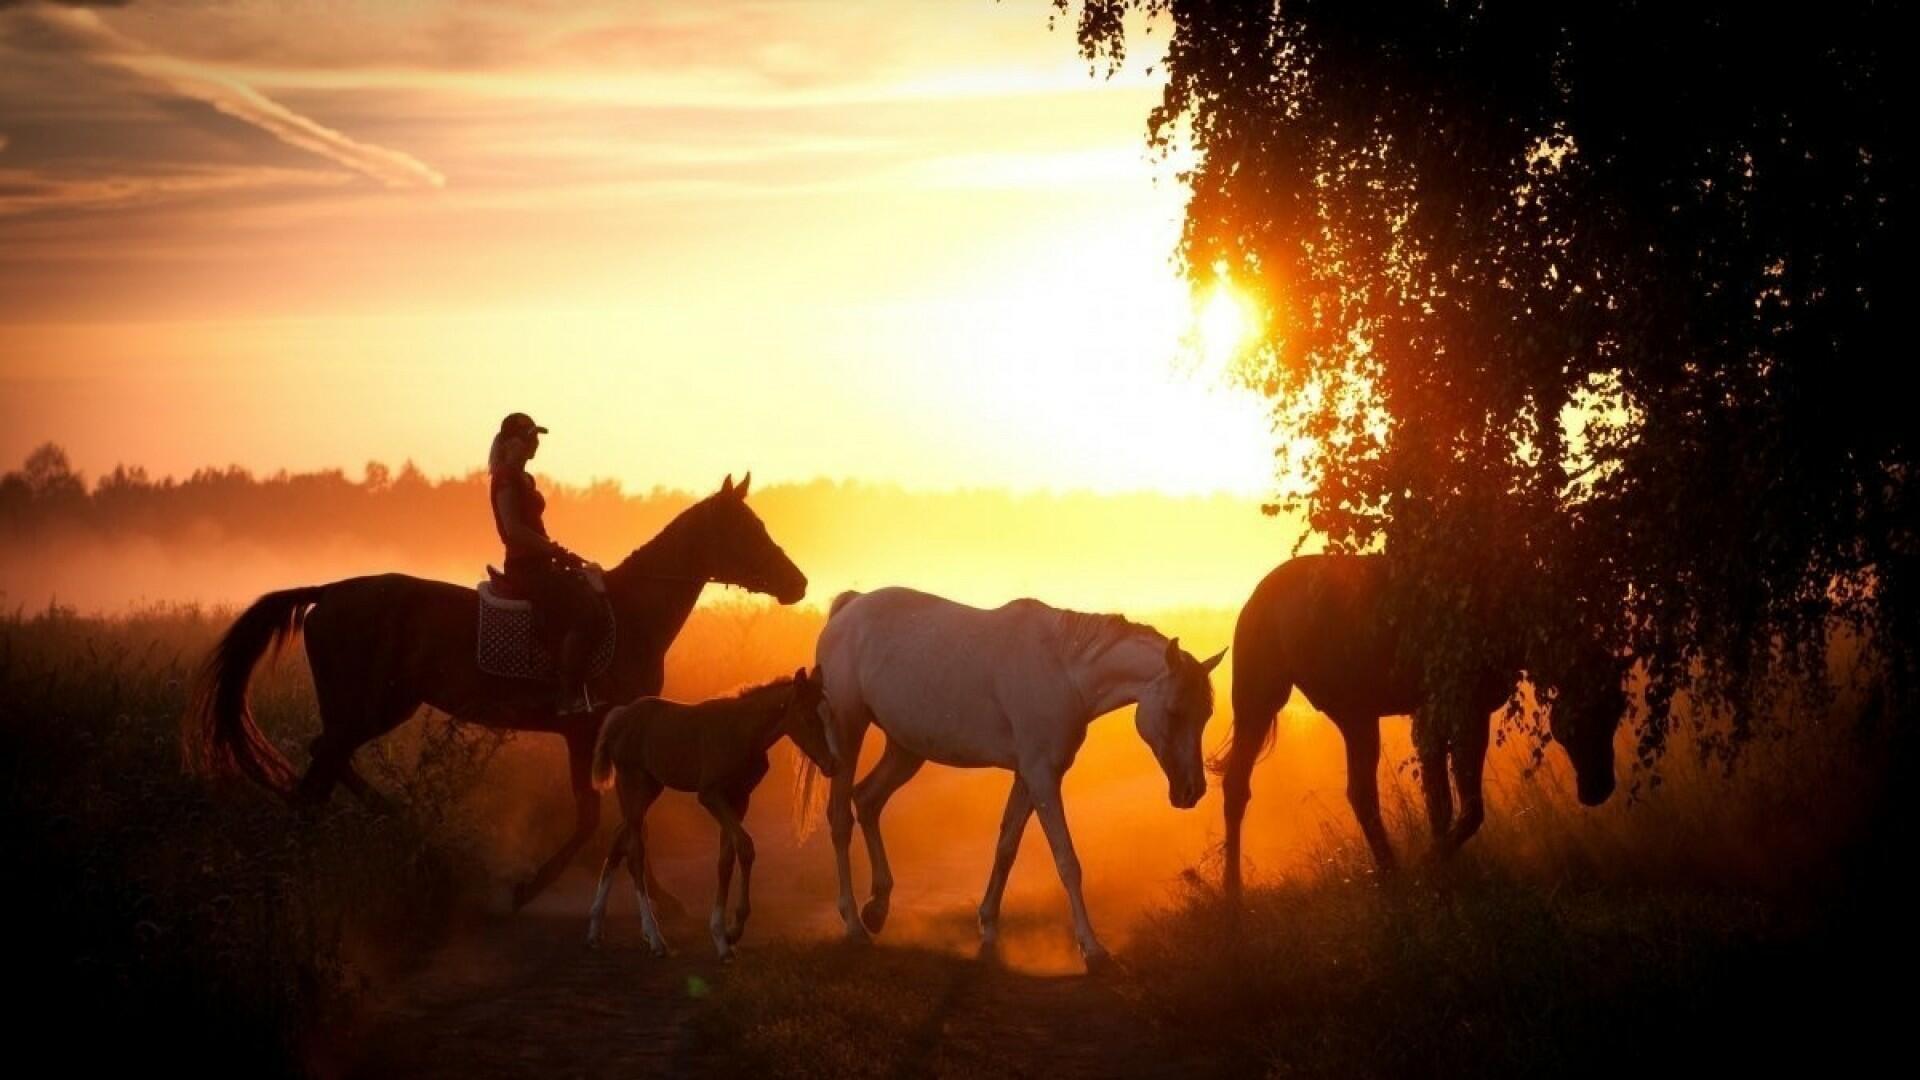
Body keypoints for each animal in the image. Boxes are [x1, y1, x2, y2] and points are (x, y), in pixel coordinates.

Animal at [817, 584, 1221, 972]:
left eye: (1205, 715)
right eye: (1174, 711)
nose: (1191, 790)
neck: (1064, 671)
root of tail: (850, 608)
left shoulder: (1029, 776)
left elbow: (1006, 848)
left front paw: (989, 930)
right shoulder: (1042, 777)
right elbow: (1067, 861)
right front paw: (1092, 951)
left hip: (905, 750)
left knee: (867, 800)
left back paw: (877, 908)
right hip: (849, 733)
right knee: (840, 819)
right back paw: (854, 924)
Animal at [1213, 549, 1620, 895]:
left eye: (1616, 712)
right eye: (1589, 713)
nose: (1600, 788)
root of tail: (1255, 598)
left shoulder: (1458, 717)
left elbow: (1450, 805)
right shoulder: (1452, 714)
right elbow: (1457, 807)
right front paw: (1430, 869)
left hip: (1349, 715)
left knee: (1345, 793)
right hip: (1268, 703)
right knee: (1253, 787)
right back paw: (1236, 891)